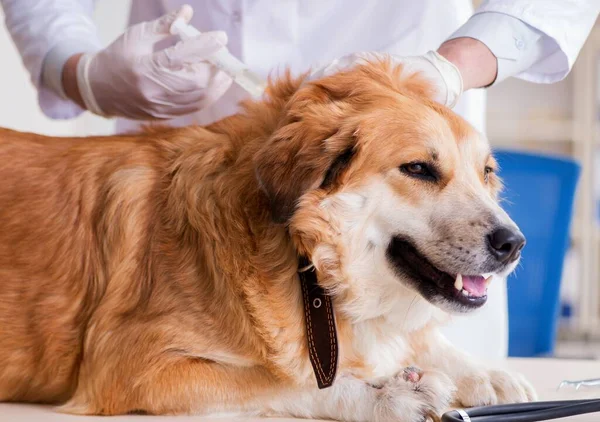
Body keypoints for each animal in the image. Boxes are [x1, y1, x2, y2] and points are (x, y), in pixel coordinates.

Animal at [0, 61, 536, 420]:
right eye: (419, 169)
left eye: (487, 173)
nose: (513, 244)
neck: (308, 261)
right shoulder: (132, 366)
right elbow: (282, 381)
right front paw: (384, 394)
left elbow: (422, 338)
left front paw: (481, 371)